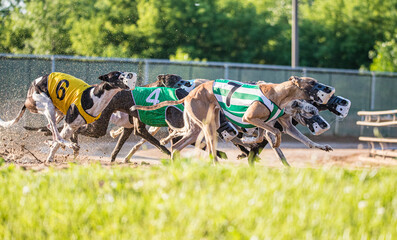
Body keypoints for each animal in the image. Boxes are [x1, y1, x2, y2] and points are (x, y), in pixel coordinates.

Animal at [132, 77, 334, 163]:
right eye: (313, 82)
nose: (329, 89)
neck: (280, 94)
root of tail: (189, 95)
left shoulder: (278, 124)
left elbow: (305, 141)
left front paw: (322, 147)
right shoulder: (250, 118)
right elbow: (273, 134)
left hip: (197, 129)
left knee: (177, 146)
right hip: (209, 126)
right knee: (210, 151)